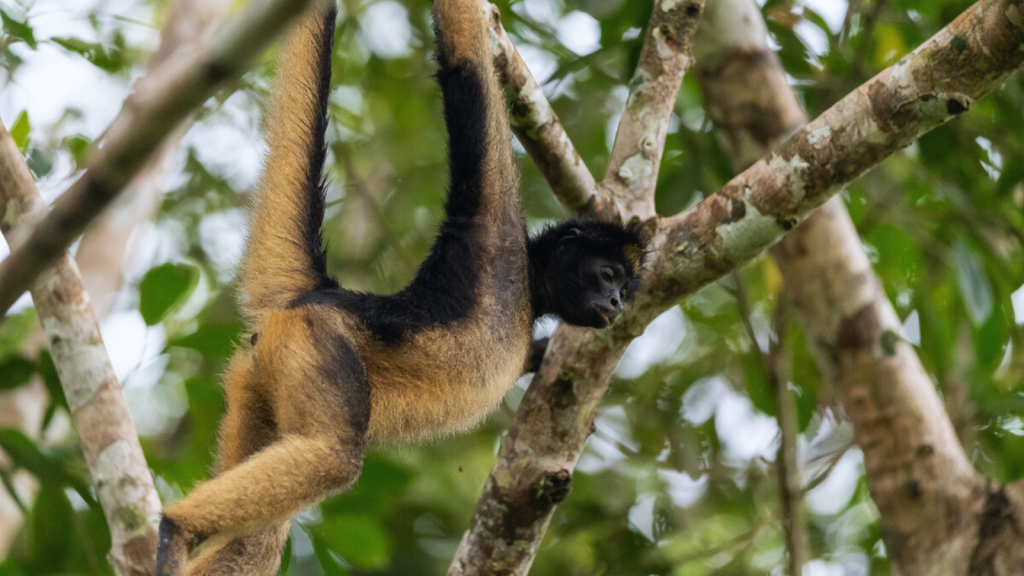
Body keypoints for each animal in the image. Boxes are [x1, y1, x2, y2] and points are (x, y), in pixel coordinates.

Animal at [155, 2, 643, 569]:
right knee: (336, 457)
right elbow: (465, 69)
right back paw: (176, 529)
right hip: (314, 339)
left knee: (255, 538)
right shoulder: (493, 232)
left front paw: (542, 354)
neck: (528, 292)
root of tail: (317, 295)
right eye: (607, 274)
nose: (614, 301)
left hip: (256, 374)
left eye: (624, 288)